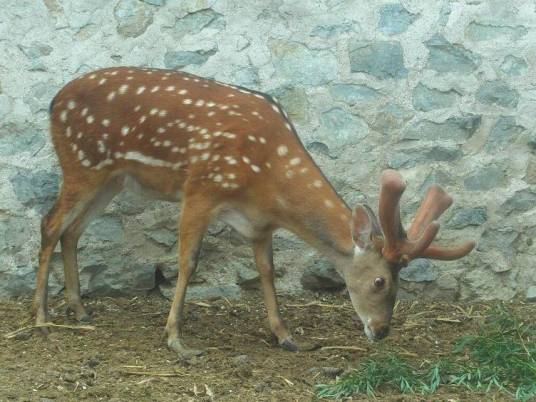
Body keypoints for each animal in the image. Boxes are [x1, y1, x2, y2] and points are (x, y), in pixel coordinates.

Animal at [35, 66, 476, 358]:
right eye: (381, 281)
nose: (382, 331)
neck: (267, 181)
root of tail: (53, 103)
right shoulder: (200, 189)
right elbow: (187, 263)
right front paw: (177, 339)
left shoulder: (258, 223)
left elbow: (267, 270)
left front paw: (286, 336)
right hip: (82, 164)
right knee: (50, 223)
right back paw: (41, 316)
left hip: (111, 178)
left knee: (72, 231)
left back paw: (79, 310)